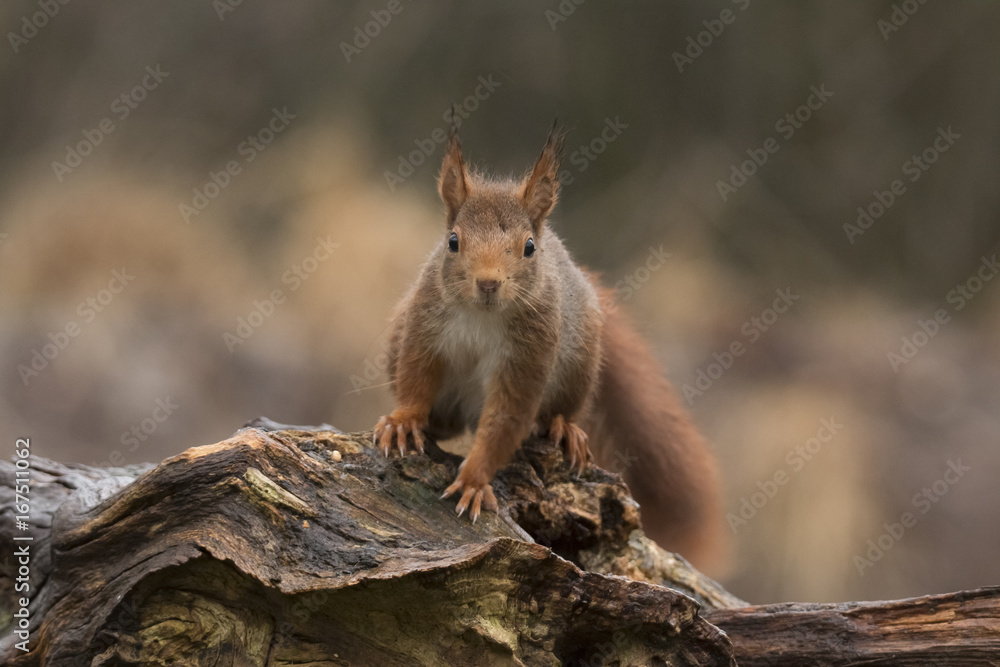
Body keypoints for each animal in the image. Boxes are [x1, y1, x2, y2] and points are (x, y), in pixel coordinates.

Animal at [374, 125, 725, 569]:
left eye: (528, 248)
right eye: (452, 242)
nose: (488, 283)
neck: (482, 316)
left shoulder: (529, 356)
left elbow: (507, 417)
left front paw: (474, 480)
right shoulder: (423, 327)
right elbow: (415, 376)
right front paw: (403, 422)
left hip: (581, 361)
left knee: (561, 409)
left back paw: (563, 428)